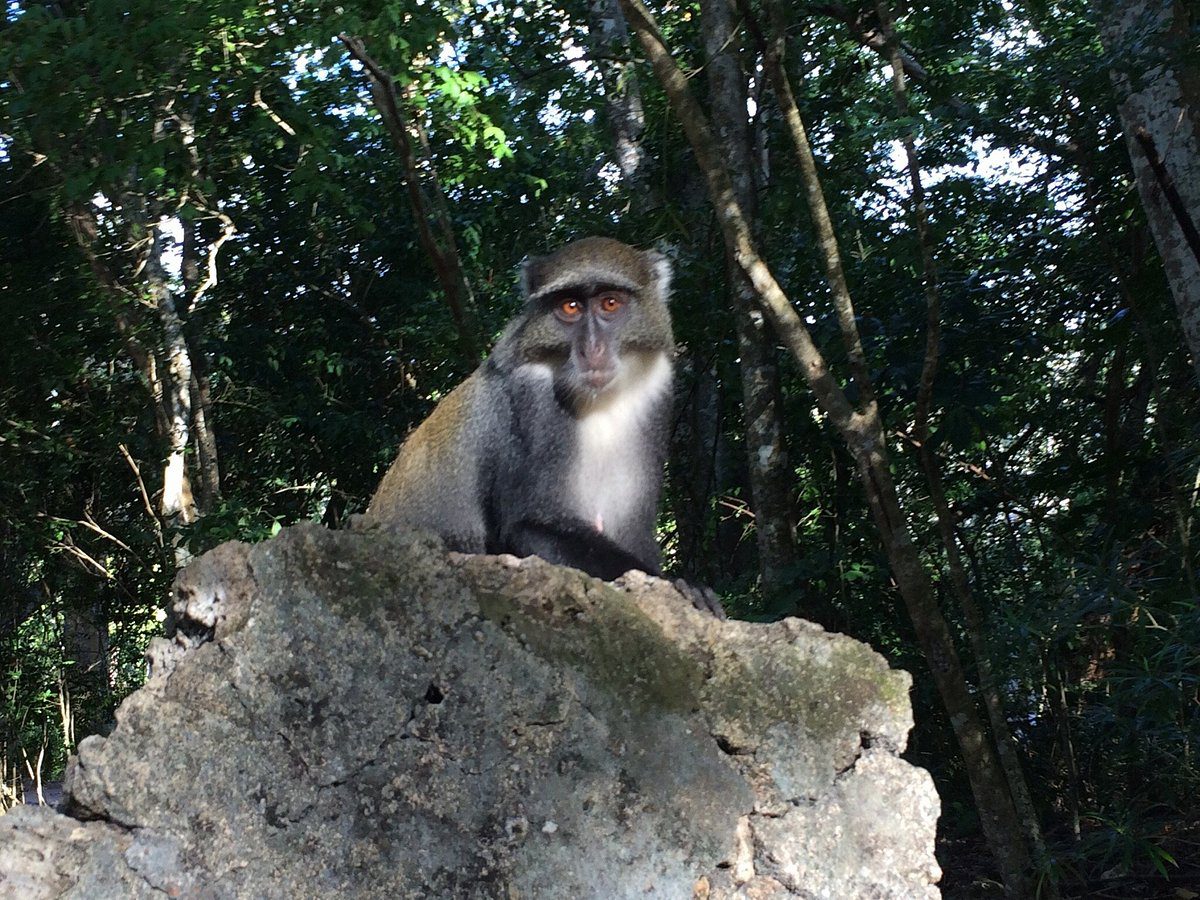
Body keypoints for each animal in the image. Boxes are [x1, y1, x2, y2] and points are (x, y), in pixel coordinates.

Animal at [362, 236, 720, 619]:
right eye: (570, 307)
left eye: (610, 303)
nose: (591, 348)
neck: (601, 402)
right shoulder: (531, 398)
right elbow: (528, 526)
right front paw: (679, 583)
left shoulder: (656, 390)